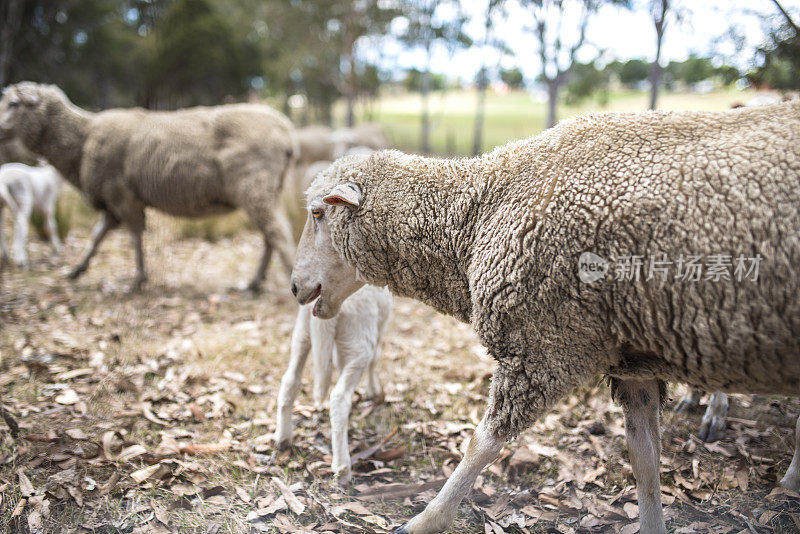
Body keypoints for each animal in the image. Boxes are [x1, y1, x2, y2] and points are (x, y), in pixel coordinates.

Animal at [0, 82, 296, 294]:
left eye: (13, 104)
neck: (82, 140)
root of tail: (287, 133)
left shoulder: (121, 195)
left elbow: (133, 237)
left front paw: (137, 281)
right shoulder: (112, 203)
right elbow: (97, 236)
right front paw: (76, 271)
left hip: (254, 186)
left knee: (278, 233)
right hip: (267, 190)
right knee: (270, 237)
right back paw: (254, 283)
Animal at [276, 286, 394, 488]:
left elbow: (339, 362)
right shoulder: (382, 321)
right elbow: (376, 358)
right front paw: (374, 392)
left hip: (302, 333)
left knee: (290, 380)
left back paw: (283, 439)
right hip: (359, 342)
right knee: (339, 397)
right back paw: (342, 470)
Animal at [290, 101, 800, 534]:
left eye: (317, 213)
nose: (295, 287)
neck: (481, 211)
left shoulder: (543, 346)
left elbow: (481, 445)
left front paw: (424, 521)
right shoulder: (631, 364)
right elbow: (645, 462)